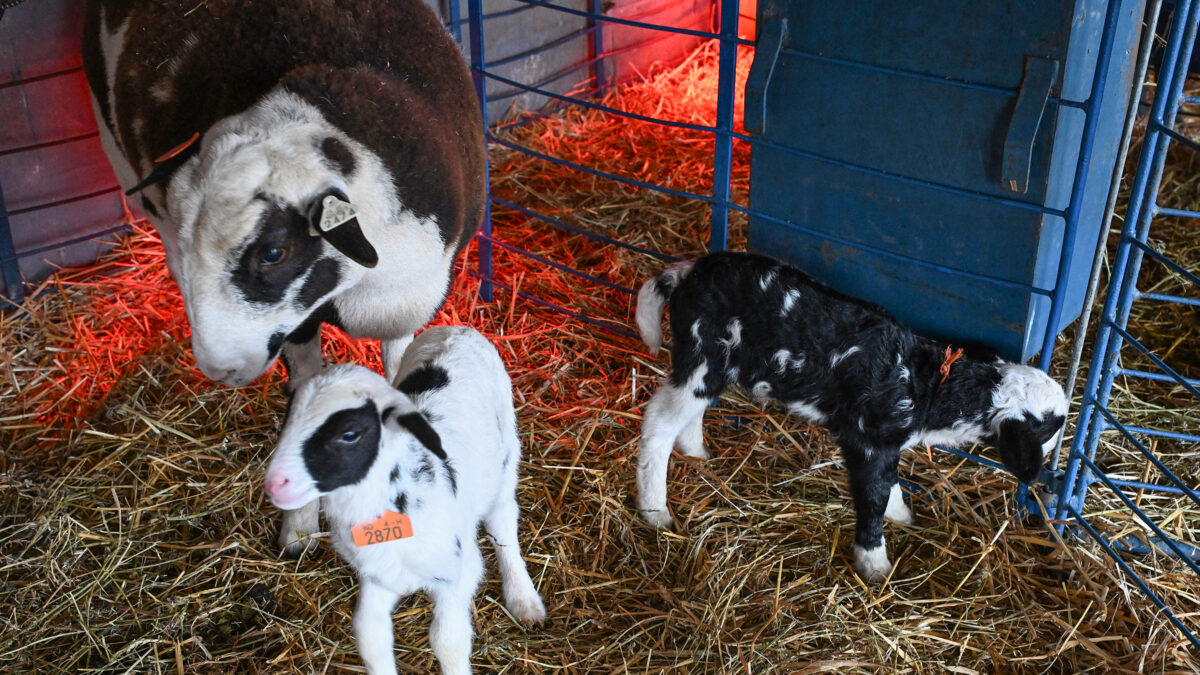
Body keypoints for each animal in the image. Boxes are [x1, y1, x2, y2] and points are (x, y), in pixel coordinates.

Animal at [264, 327, 546, 675]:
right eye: (289, 417)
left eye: (350, 434)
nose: (275, 483)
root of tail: (458, 329)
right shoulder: (379, 575)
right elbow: (370, 637)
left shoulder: (458, 573)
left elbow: (448, 641)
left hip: (505, 454)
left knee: (503, 521)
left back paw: (524, 600)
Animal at [634, 251, 1068, 582]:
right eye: (1050, 425)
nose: (1049, 469)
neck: (927, 383)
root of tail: (686, 273)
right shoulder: (868, 440)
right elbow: (872, 497)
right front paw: (875, 565)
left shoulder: (886, 444)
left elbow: (889, 484)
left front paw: (903, 515)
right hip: (702, 355)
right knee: (658, 422)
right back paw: (655, 510)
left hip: (712, 367)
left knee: (688, 414)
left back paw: (696, 453)